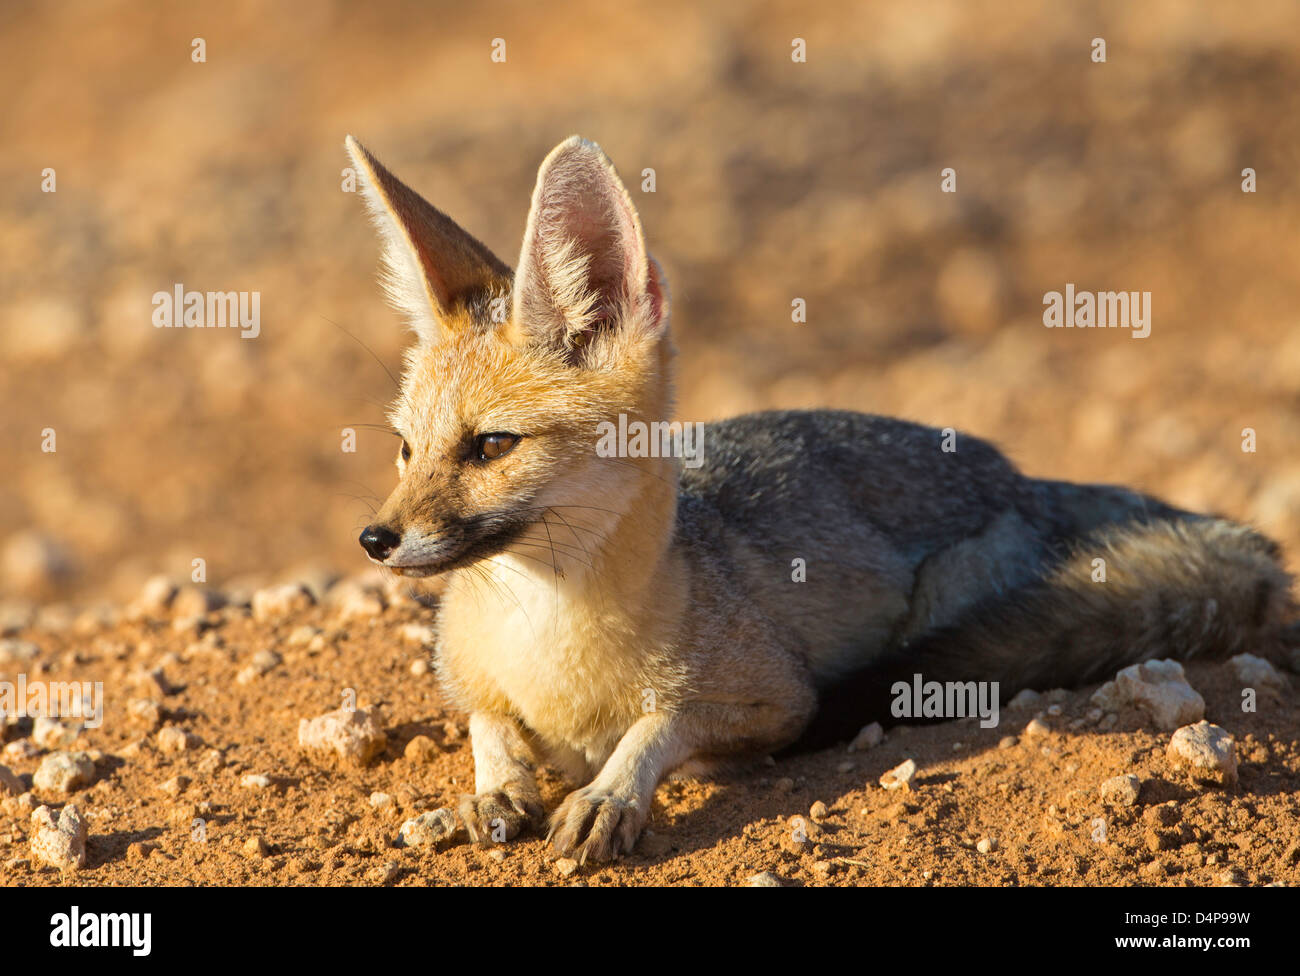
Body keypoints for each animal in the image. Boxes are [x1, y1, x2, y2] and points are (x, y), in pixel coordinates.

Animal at [345, 133, 1298, 863]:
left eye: (490, 447)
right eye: (403, 447)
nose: (374, 540)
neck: (551, 644)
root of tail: (1021, 474)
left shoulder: (777, 701)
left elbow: (664, 724)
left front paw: (613, 791)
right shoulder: (464, 671)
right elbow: (486, 720)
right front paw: (499, 785)